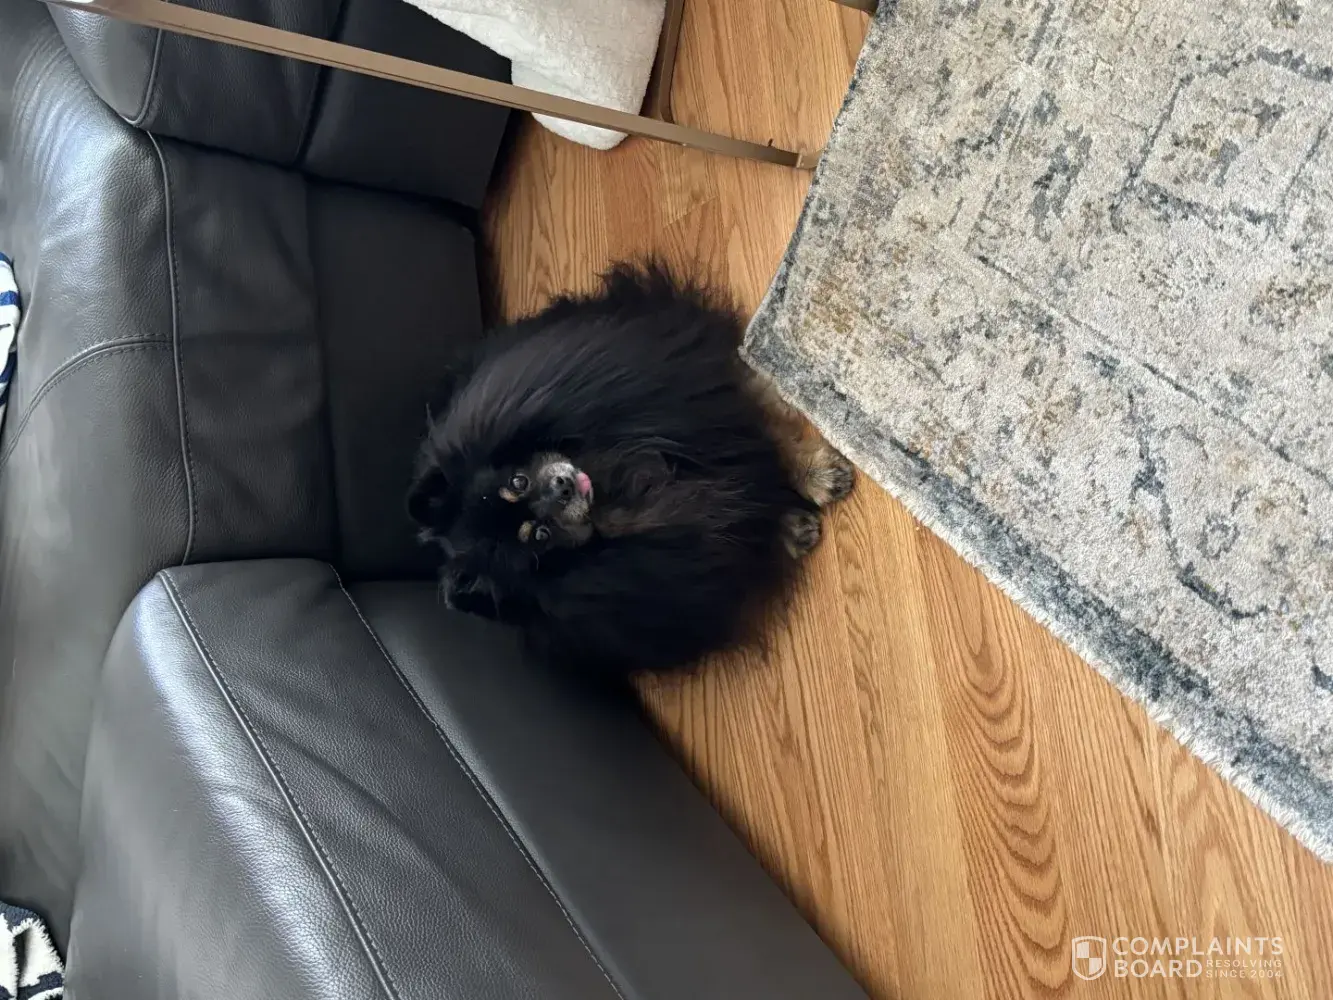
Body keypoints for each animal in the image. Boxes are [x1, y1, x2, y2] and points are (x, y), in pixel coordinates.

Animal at [407, 264, 854, 678]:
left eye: (518, 482)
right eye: (540, 536)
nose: (563, 488)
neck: (615, 473)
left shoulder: (698, 399)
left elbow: (767, 429)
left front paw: (817, 475)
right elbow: (739, 509)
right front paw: (789, 522)